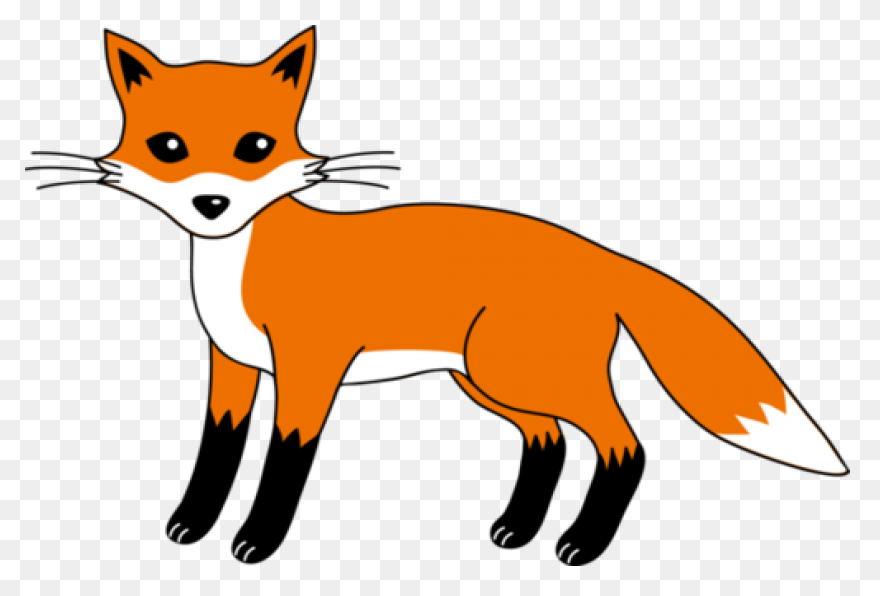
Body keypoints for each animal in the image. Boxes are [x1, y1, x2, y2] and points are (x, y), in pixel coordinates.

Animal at [28, 27, 849, 566]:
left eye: (254, 147)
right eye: (167, 147)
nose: (211, 204)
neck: (242, 264)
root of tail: (599, 253)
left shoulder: (310, 368)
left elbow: (284, 460)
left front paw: (257, 540)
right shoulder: (231, 365)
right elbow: (216, 450)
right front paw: (191, 525)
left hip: (527, 374)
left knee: (625, 448)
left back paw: (581, 544)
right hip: (485, 381)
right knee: (547, 443)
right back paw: (517, 530)